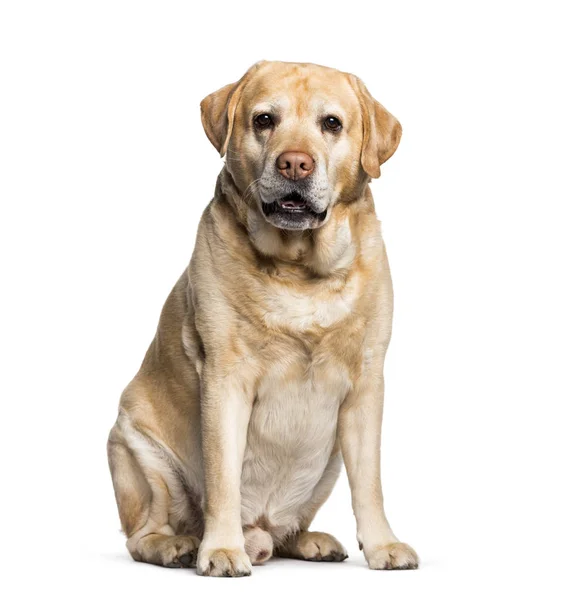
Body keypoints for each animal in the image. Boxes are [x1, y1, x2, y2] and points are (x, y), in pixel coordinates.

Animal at [107, 59, 418, 576]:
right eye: (264, 120)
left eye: (331, 123)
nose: (294, 163)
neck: (300, 270)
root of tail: (263, 531)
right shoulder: (224, 380)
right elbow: (223, 478)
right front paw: (220, 549)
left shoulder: (366, 386)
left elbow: (370, 483)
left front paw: (382, 545)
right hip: (136, 448)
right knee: (143, 533)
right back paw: (179, 545)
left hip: (327, 462)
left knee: (289, 528)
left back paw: (307, 540)